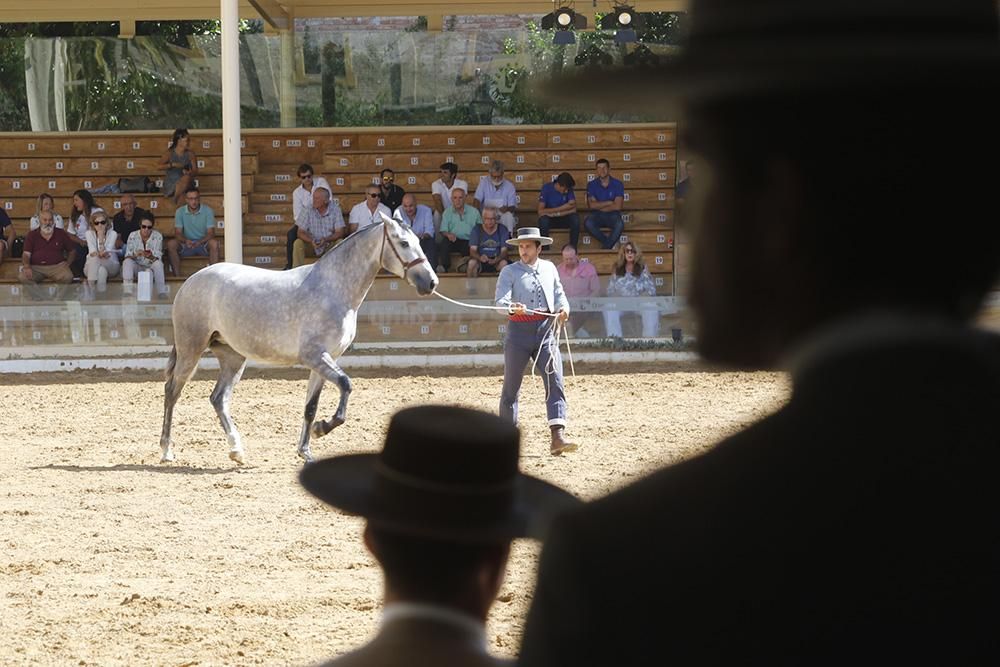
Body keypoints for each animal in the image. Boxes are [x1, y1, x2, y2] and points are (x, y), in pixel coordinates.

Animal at [159, 217, 434, 468]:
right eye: (404, 243)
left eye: (419, 242)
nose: (430, 282)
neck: (332, 289)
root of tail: (190, 281)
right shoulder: (314, 356)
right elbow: (346, 385)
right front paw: (321, 429)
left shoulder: (325, 360)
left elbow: (311, 406)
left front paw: (306, 452)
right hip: (191, 349)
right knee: (172, 391)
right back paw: (166, 451)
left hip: (233, 357)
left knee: (219, 398)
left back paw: (237, 451)